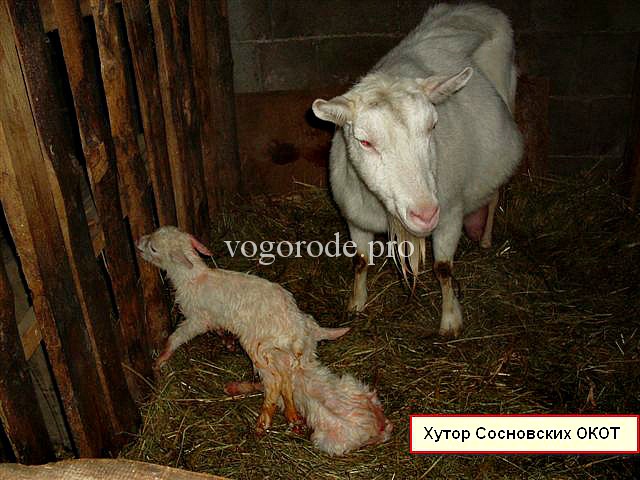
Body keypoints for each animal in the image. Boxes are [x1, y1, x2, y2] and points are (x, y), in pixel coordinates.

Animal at [312, 3, 523, 336]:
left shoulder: (449, 214)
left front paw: (450, 321)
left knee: (494, 192)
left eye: (432, 126)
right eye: (365, 141)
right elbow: (360, 261)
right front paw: (356, 305)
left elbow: (443, 269)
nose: (425, 214)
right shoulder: (355, 218)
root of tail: (477, 8)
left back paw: (487, 238)